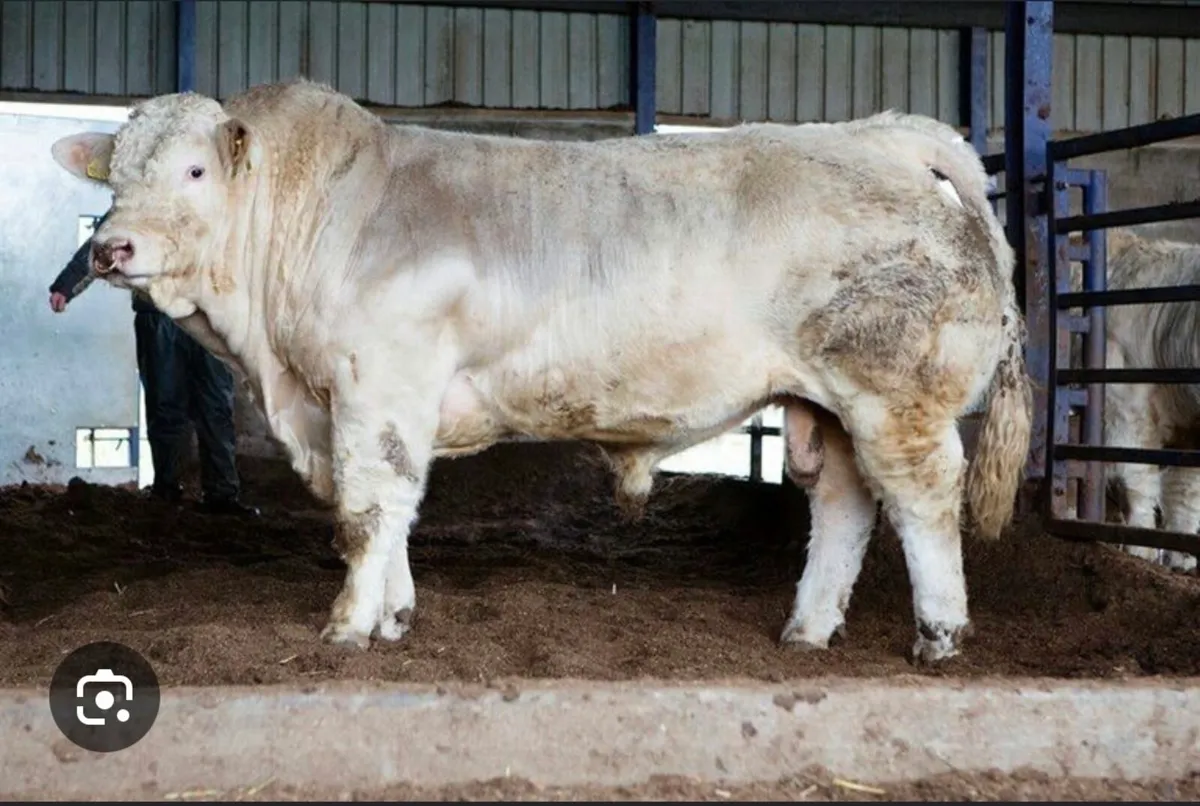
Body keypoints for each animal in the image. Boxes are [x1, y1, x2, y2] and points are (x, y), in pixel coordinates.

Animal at [48, 79, 1032, 663]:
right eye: (115, 175)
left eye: (194, 169)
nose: (109, 248)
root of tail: (879, 136)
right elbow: (394, 509)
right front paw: (396, 617)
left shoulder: (379, 385)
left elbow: (369, 510)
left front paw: (348, 627)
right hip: (824, 402)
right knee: (845, 505)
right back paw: (806, 629)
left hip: (893, 393)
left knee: (921, 496)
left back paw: (940, 634)